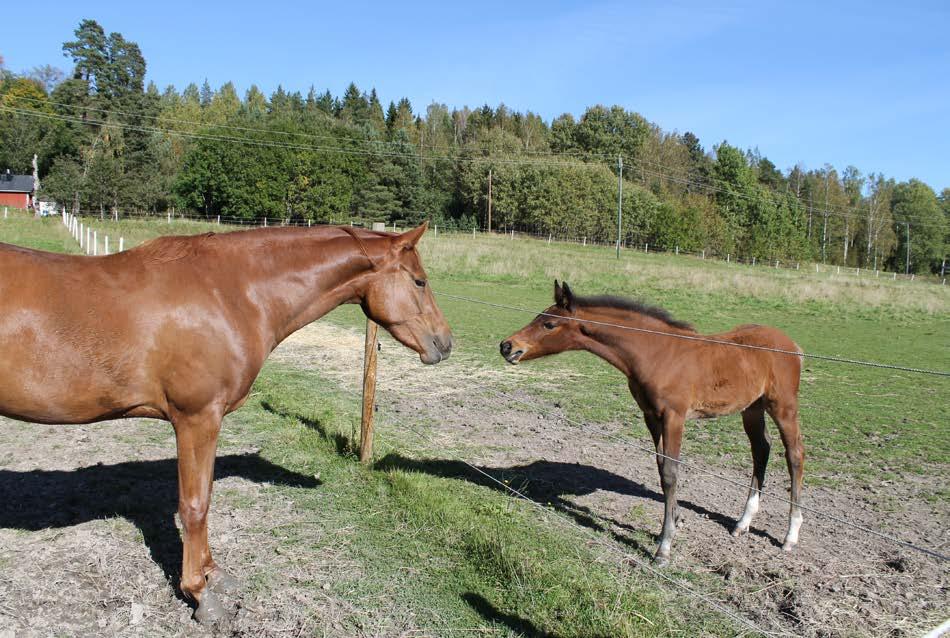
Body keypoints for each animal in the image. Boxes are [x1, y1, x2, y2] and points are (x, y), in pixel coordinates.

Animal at [0, 222, 454, 624]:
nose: (445, 343)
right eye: (419, 281)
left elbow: (206, 501)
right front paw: (200, 595)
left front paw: (213, 575)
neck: (228, 293)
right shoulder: (196, 419)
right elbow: (195, 505)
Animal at [502, 282, 808, 568]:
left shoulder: (674, 416)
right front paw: (673, 521)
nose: (507, 346)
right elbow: (661, 470)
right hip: (751, 408)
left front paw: (664, 547)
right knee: (761, 449)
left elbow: (671, 473)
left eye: (549, 324)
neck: (658, 353)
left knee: (794, 454)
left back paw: (790, 535)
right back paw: (742, 523)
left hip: (783, 406)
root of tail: (793, 345)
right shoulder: (650, 416)